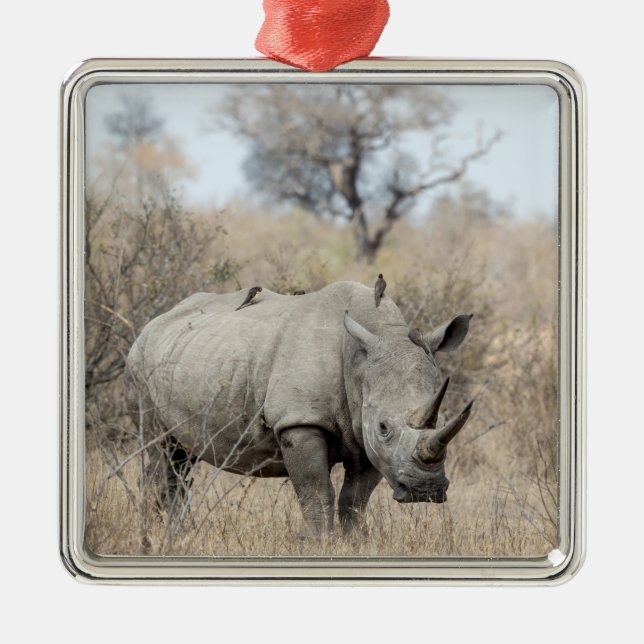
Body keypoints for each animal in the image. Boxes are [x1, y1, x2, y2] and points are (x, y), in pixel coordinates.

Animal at [125, 281, 474, 537]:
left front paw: (355, 543)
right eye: (384, 428)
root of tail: (154, 322)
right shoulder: (300, 421)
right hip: (140, 366)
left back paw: (174, 535)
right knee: (161, 451)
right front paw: (320, 543)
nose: (425, 491)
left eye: (442, 419)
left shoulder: (365, 435)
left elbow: (355, 500)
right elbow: (317, 493)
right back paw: (155, 535)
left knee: (181, 460)